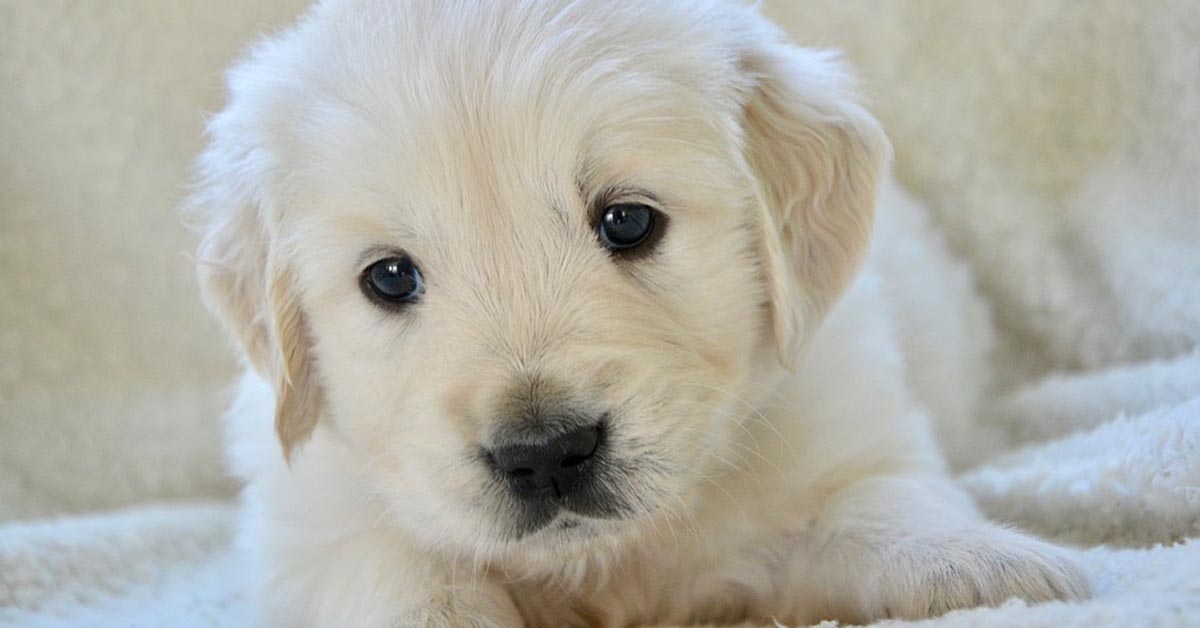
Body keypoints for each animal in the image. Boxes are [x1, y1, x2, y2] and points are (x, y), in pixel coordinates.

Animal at [184, 1, 1089, 624]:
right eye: (391, 278)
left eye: (627, 221)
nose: (544, 453)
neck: (612, 562)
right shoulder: (317, 530)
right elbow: (403, 577)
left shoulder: (843, 434)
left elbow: (884, 508)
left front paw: (994, 566)